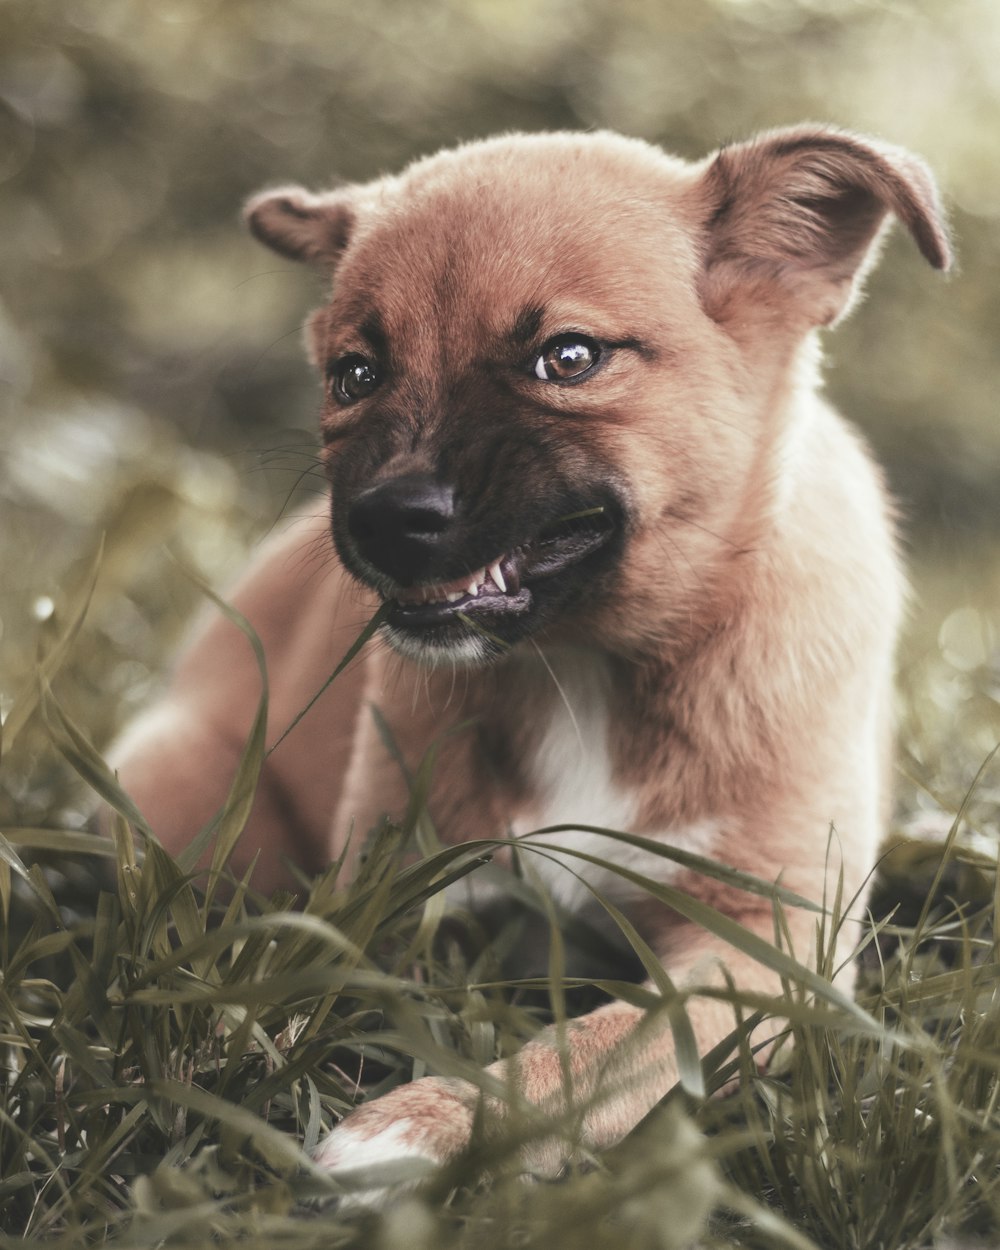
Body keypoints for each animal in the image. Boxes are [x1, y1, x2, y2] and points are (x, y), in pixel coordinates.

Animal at [109, 126, 955, 1190]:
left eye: (570, 357)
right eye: (354, 375)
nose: (382, 521)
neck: (585, 666)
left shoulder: (775, 941)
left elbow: (609, 1040)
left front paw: (424, 1125)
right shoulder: (402, 892)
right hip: (180, 795)